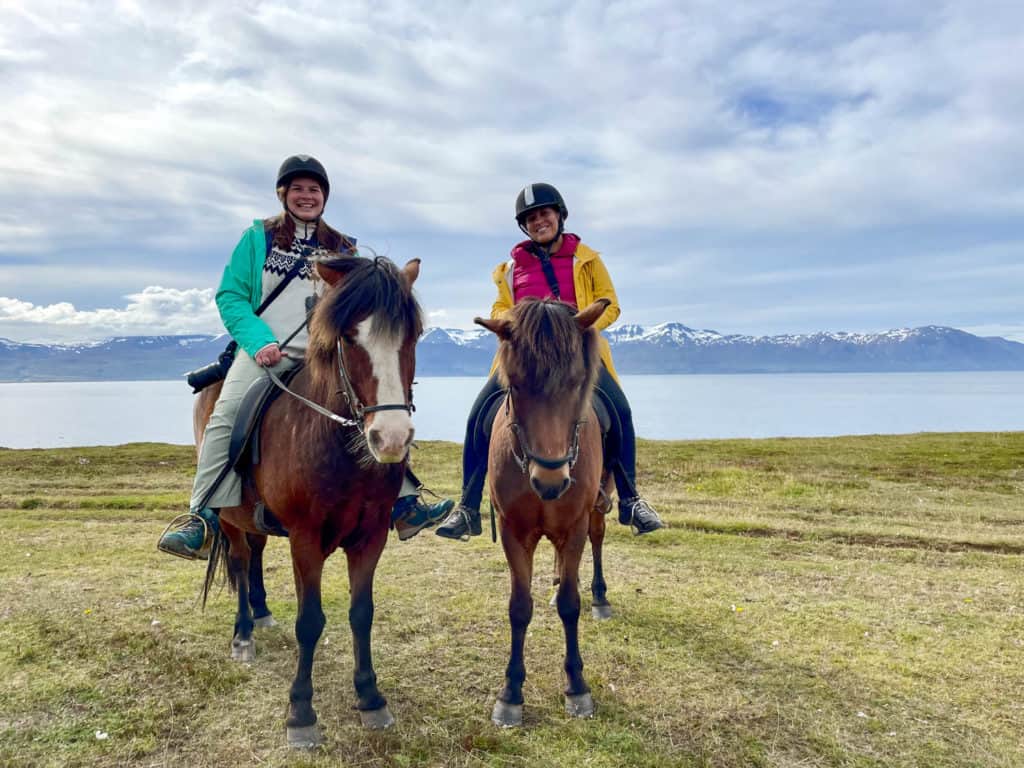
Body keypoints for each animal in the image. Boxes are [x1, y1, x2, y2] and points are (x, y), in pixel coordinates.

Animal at [195, 256, 419, 749]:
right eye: (349, 337)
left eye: (414, 334)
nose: (390, 438)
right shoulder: (305, 540)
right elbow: (310, 621)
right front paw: (300, 711)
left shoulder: (371, 536)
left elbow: (361, 613)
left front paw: (370, 697)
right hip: (229, 517)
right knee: (240, 561)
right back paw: (244, 633)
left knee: (256, 554)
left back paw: (260, 612)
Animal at [475, 296, 610, 729]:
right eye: (515, 385)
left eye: (577, 381)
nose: (550, 481)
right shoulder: (513, 531)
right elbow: (519, 608)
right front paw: (511, 692)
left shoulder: (576, 526)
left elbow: (570, 604)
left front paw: (577, 686)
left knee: (599, 540)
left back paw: (599, 597)